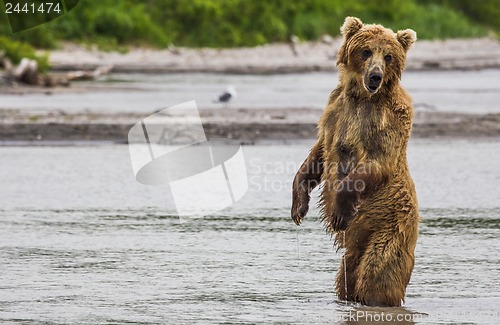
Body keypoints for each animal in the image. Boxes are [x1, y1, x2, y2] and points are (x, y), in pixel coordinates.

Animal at [292, 17, 420, 306]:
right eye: (366, 51)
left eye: (388, 56)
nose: (375, 76)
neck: (362, 96)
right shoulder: (335, 111)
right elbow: (318, 154)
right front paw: (298, 206)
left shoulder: (386, 121)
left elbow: (377, 161)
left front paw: (340, 212)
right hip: (352, 253)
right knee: (345, 279)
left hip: (390, 229)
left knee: (377, 275)